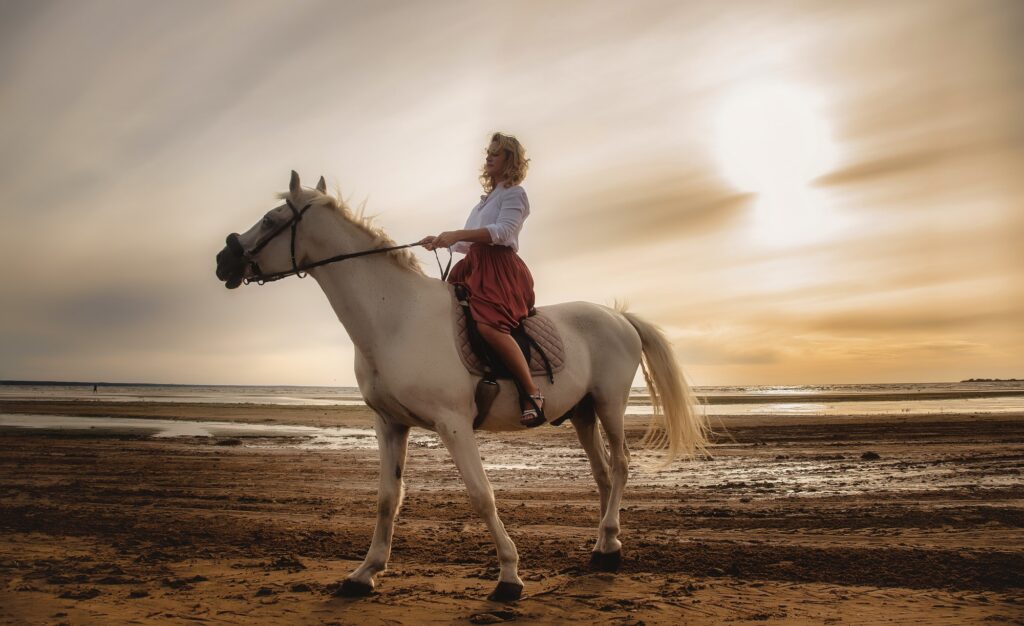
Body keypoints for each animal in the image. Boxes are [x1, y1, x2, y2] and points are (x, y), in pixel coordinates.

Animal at [214, 171, 712, 602]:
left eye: (272, 220)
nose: (223, 261)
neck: (396, 317)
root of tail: (618, 315)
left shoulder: (453, 424)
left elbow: (481, 495)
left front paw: (509, 577)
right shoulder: (389, 424)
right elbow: (387, 499)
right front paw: (365, 573)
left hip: (609, 405)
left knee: (622, 465)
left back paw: (607, 550)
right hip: (583, 414)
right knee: (604, 474)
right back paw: (605, 546)